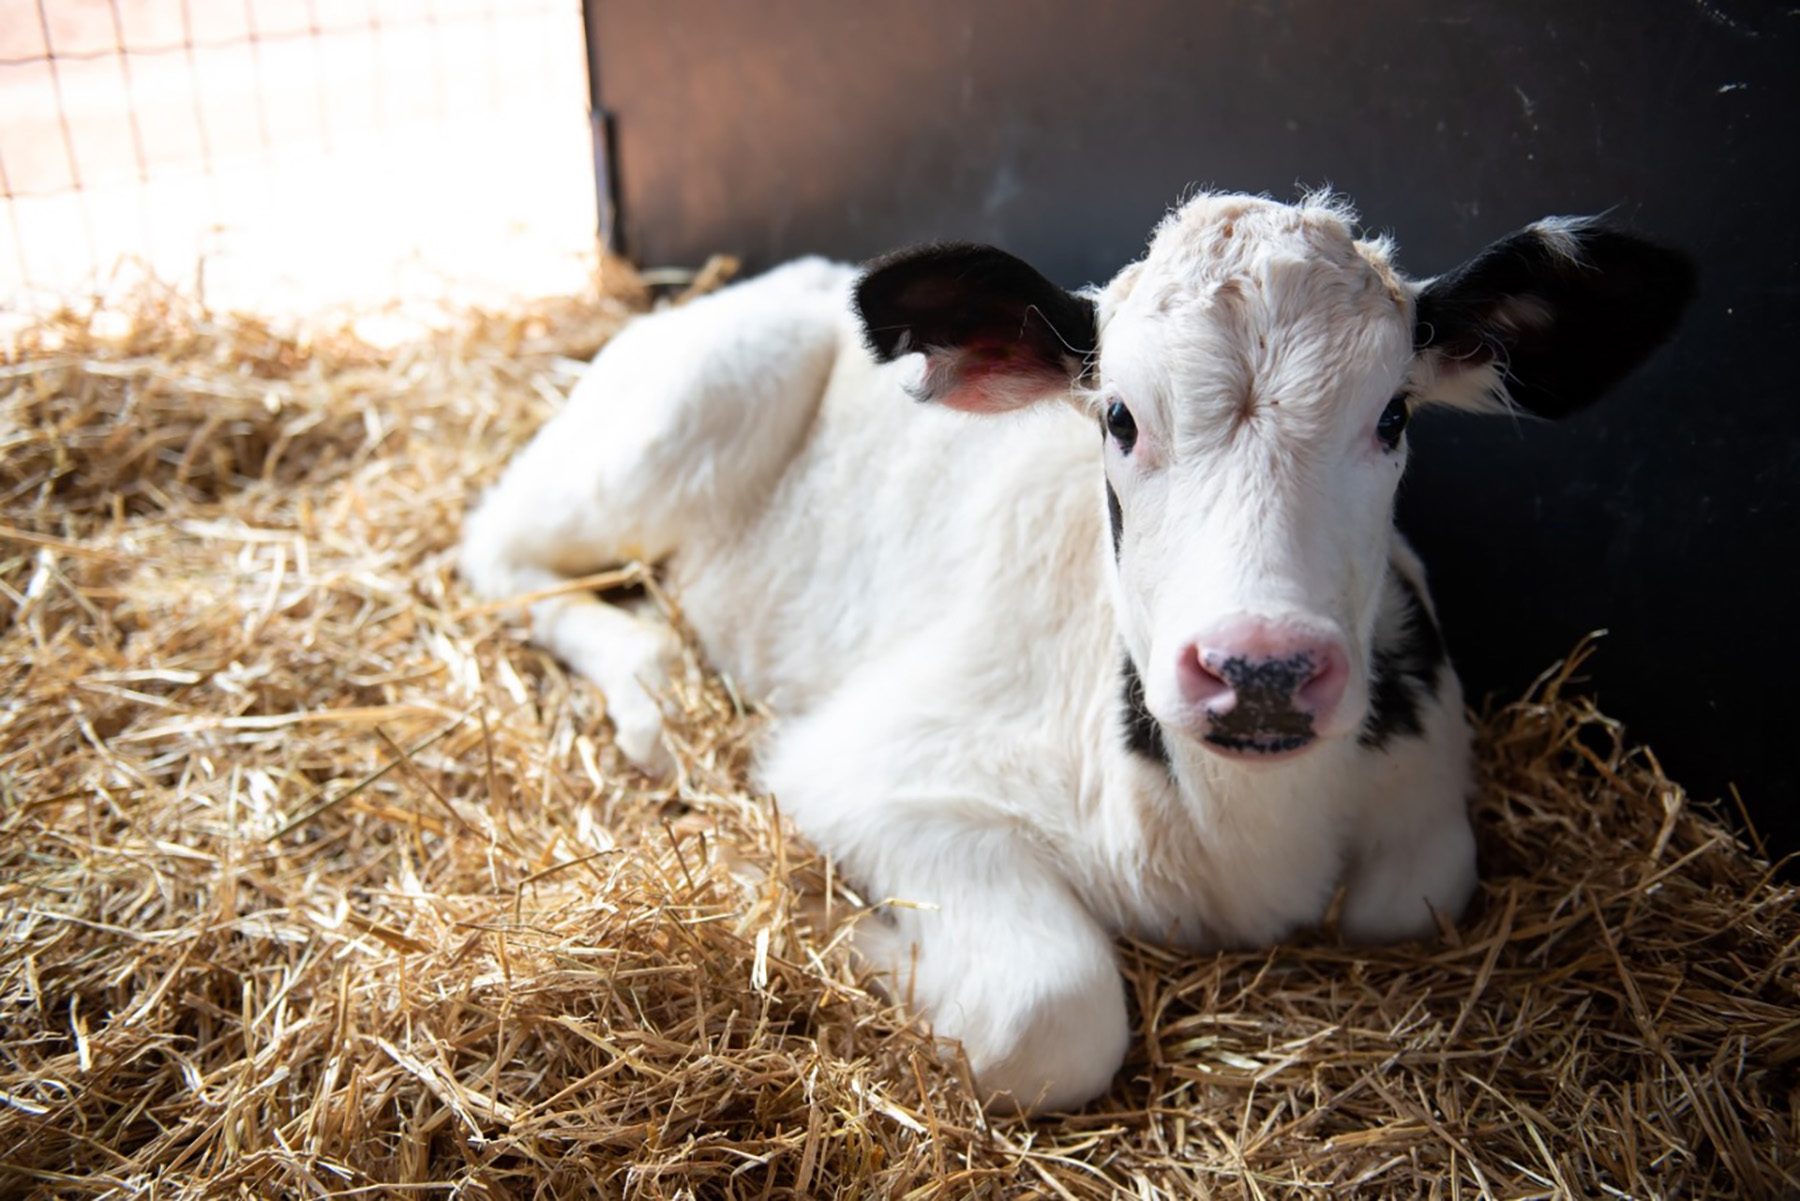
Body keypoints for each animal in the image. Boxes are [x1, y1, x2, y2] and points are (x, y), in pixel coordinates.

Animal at [457, 192, 1692, 1116]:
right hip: (686, 409)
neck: (1243, 843)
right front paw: (845, 927)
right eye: (1120, 419)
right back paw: (651, 686)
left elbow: (1414, 891)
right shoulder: (870, 768)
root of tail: (779, 277)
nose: (1261, 668)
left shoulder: (1425, 785)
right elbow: (1051, 1012)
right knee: (497, 550)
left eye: (1392, 417)